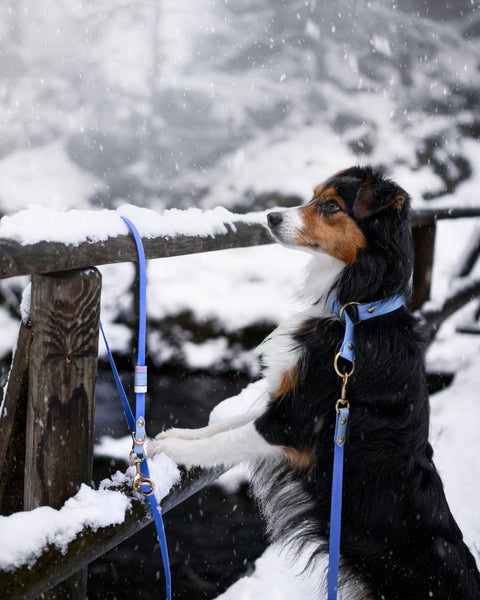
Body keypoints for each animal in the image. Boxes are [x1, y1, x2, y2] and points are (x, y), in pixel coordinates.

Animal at [150, 166, 480, 600]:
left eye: (332, 206)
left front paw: (173, 448)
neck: (355, 312)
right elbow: (224, 425)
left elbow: (228, 439)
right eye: (313, 196)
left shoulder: (294, 420)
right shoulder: (285, 398)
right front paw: (177, 435)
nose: (271, 216)